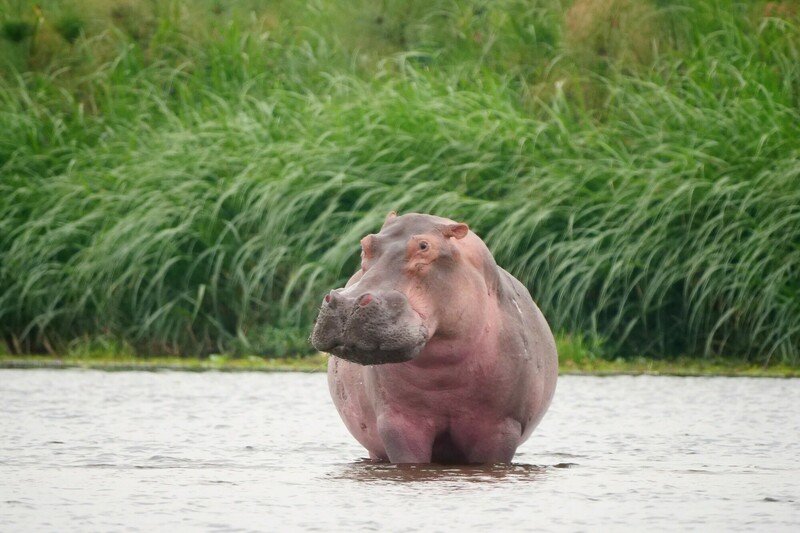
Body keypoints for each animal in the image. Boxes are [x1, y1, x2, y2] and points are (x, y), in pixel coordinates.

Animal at [310, 212, 558, 464]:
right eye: (366, 243)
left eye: (424, 246)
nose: (347, 304)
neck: (443, 372)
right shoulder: (398, 422)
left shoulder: (501, 426)